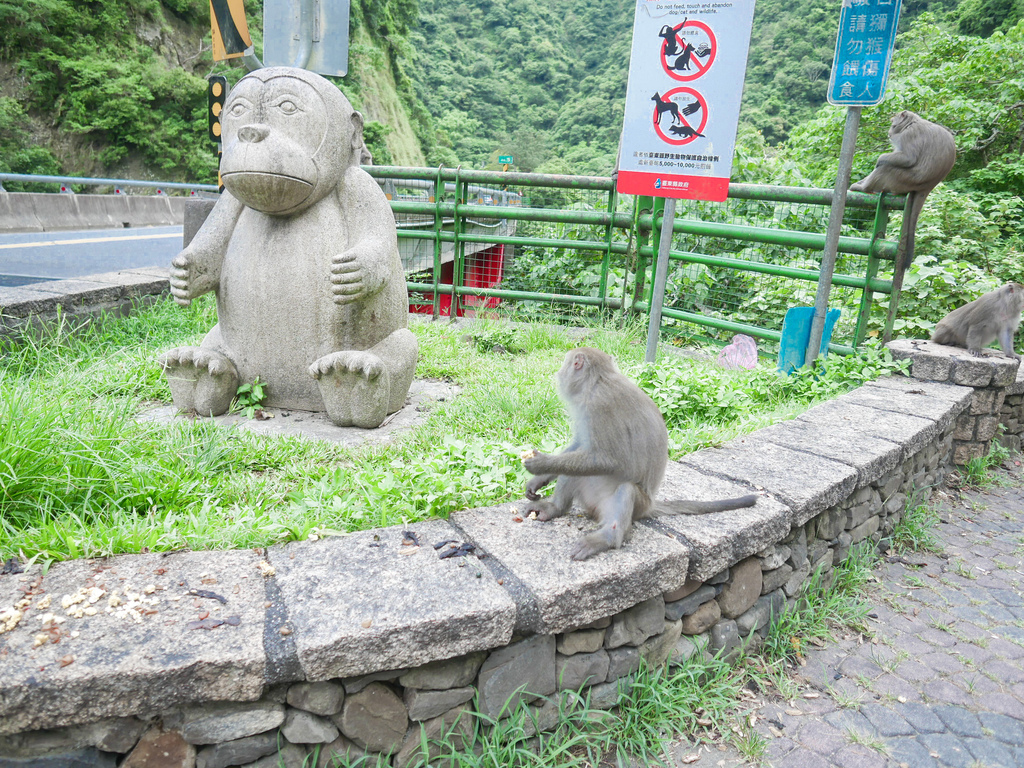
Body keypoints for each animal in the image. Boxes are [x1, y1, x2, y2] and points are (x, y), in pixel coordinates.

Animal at [524, 348, 757, 561]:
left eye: (566, 364)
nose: (560, 373)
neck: (598, 380)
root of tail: (650, 505)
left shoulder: (599, 405)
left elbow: (607, 460)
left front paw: (541, 463)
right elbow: (580, 445)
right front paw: (539, 479)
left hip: (636, 504)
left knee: (625, 490)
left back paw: (608, 538)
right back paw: (555, 508)